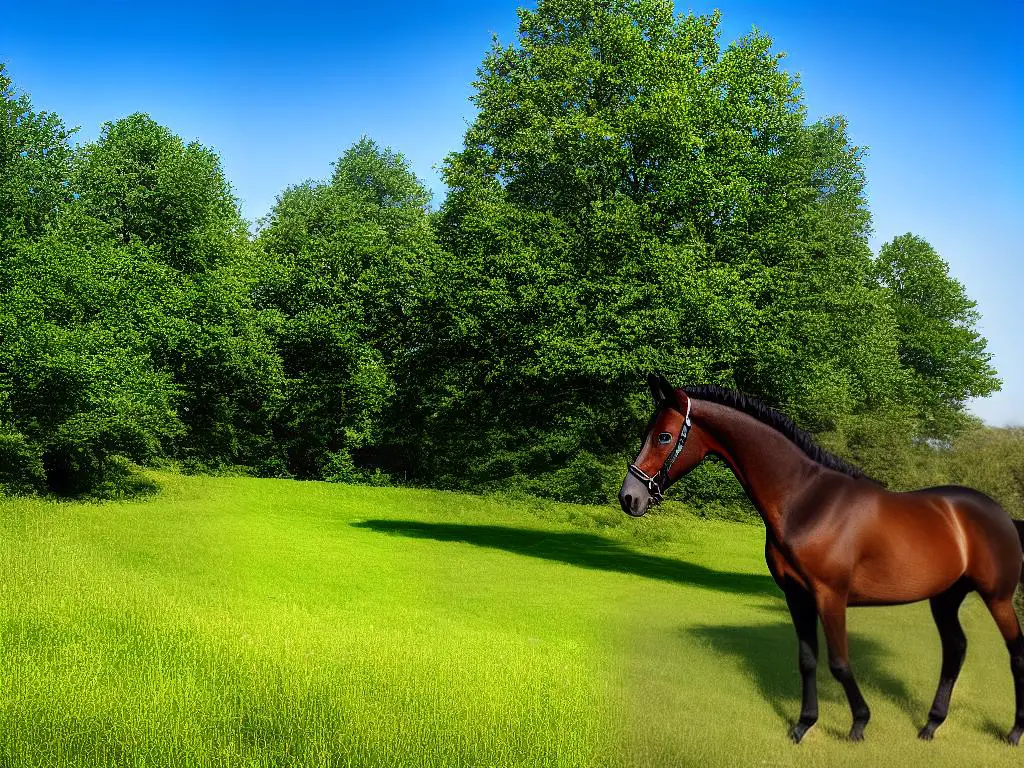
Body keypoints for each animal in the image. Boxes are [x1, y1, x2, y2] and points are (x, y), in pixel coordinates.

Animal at [614, 372, 1024, 745]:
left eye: (664, 436)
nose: (629, 497)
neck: (807, 501)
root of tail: (1002, 516)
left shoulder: (831, 597)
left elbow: (839, 663)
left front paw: (858, 724)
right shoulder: (797, 596)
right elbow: (807, 660)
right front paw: (803, 724)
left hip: (997, 597)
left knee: (1015, 651)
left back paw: (1013, 732)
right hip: (946, 598)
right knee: (955, 650)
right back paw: (931, 725)